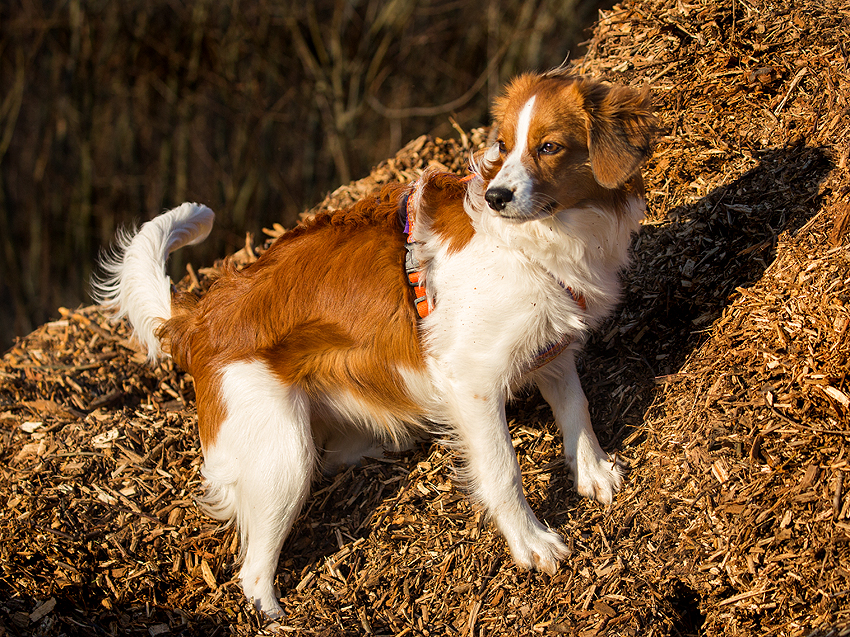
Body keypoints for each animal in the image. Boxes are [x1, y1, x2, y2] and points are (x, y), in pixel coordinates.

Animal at [96, 68, 656, 616]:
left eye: (550, 147)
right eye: (503, 143)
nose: (497, 197)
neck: (542, 240)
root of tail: (201, 314)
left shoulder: (552, 347)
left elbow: (576, 407)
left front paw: (592, 470)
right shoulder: (471, 383)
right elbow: (504, 471)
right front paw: (531, 542)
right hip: (283, 456)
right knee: (252, 574)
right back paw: (279, 617)